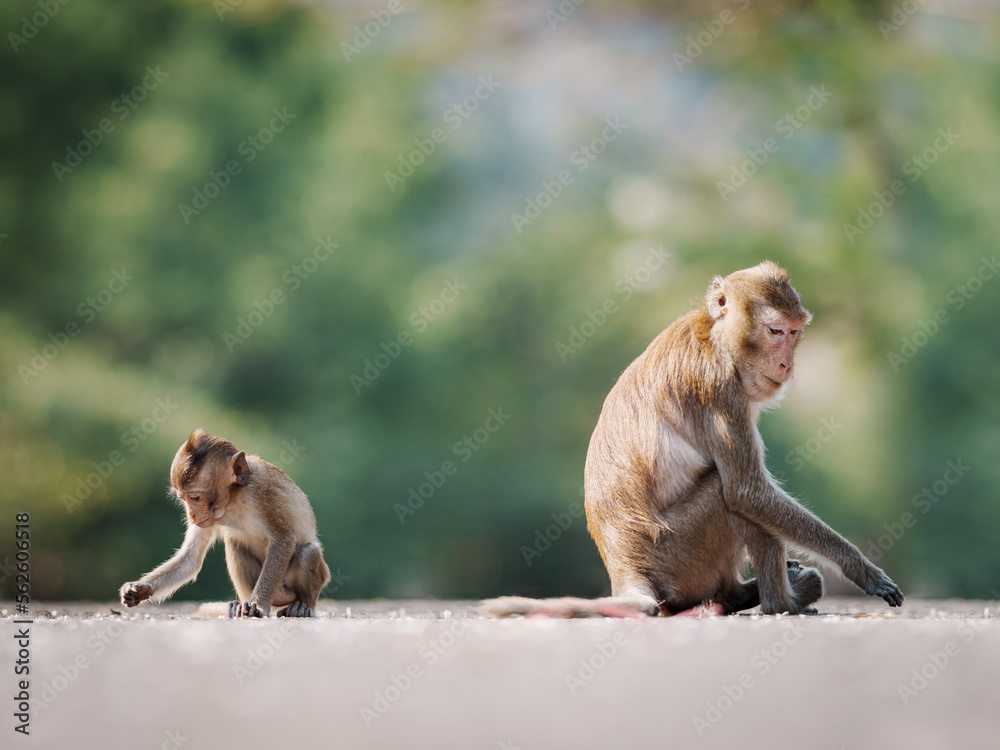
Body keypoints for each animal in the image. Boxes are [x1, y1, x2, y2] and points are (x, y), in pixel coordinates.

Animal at [119, 429, 331, 617]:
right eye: (182, 498)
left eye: (195, 497)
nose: (191, 516)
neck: (233, 499)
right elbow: (190, 559)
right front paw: (139, 588)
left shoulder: (261, 492)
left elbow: (283, 541)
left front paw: (257, 605)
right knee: (235, 544)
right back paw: (240, 604)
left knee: (308, 552)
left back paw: (302, 606)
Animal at [482, 261, 903, 618]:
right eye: (775, 331)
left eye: (794, 331)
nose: (786, 364)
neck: (715, 336)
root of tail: (625, 569)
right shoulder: (719, 387)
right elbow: (747, 491)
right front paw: (861, 570)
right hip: (678, 553)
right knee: (729, 495)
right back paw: (780, 604)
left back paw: (747, 594)